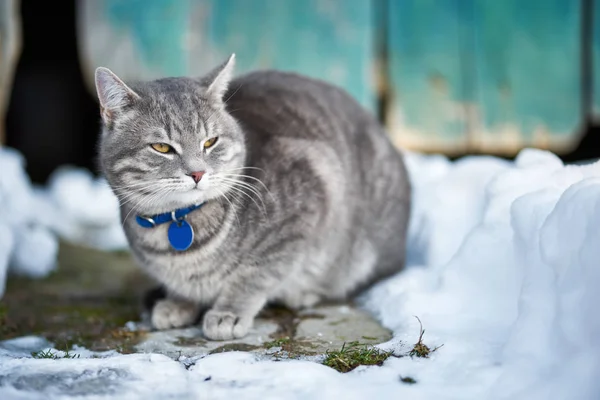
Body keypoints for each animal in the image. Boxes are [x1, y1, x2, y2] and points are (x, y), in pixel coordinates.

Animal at [95, 53, 412, 340]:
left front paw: (229, 312)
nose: (197, 173)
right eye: (162, 147)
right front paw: (178, 302)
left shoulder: (304, 208)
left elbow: (257, 273)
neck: (177, 222)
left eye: (210, 142)